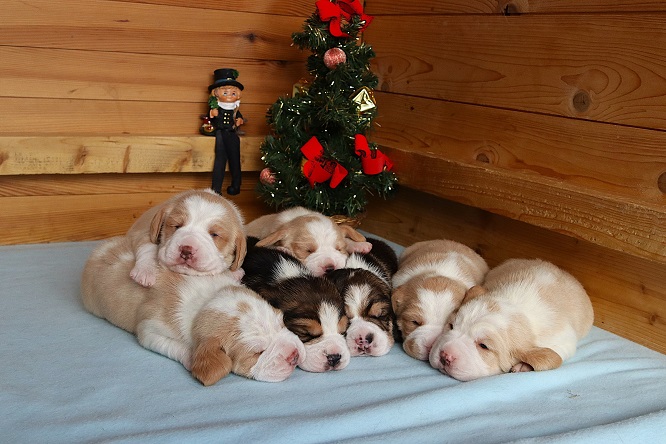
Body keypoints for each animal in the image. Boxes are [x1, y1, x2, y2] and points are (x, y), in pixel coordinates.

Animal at [81, 235, 304, 385]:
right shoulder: (150, 329)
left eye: (281, 323)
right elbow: (165, 342)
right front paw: (190, 358)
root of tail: (98, 250)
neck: (207, 300)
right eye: (258, 352)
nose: (293, 356)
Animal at [429, 258, 594, 381]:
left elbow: (551, 356)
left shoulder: (563, 340)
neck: (514, 304)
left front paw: (523, 366)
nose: (445, 356)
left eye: (484, 346)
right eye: (451, 326)